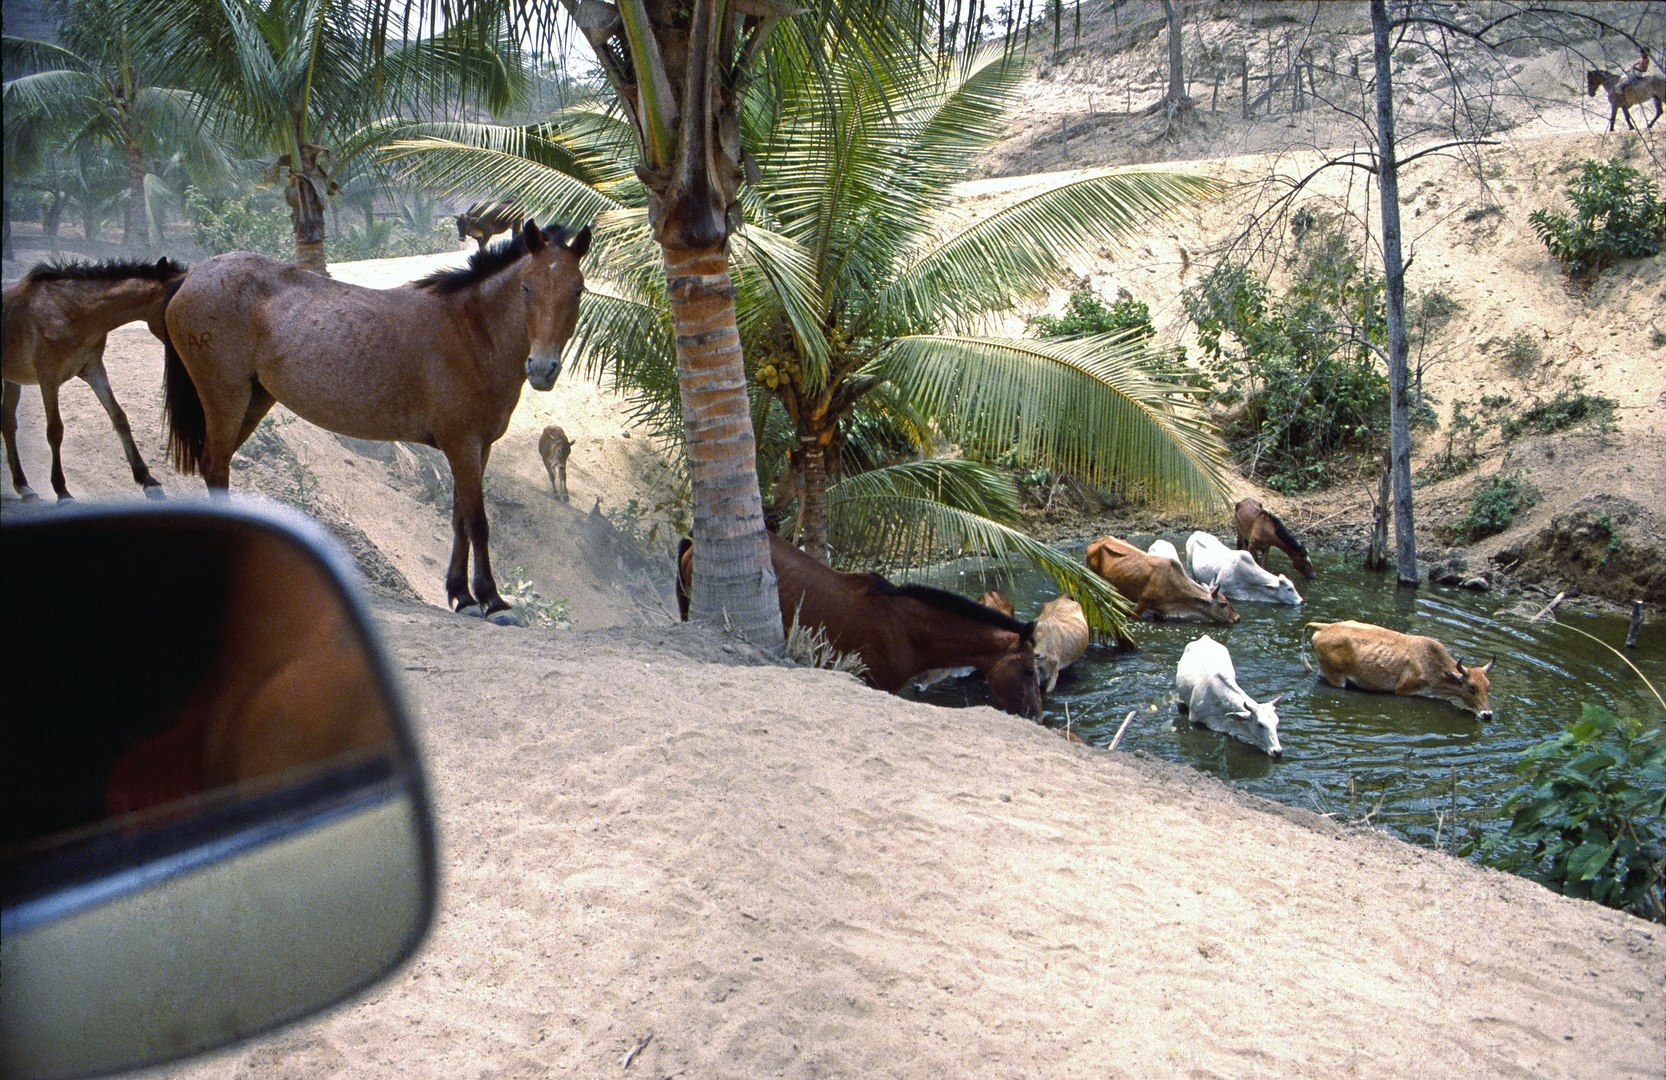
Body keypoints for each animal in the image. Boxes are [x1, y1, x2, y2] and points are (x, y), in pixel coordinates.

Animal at [1, 256, 187, 503]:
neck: (70, 310)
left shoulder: (94, 369)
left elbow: (119, 417)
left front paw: (148, 480)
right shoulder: (48, 379)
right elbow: (55, 430)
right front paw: (62, 491)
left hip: (12, 379)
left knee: (8, 422)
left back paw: (23, 486)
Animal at [164, 223, 593, 620]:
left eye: (577, 291)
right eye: (527, 287)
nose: (542, 369)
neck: (471, 332)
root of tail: (191, 277)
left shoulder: (476, 448)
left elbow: (458, 518)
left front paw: (462, 595)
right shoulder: (462, 444)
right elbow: (477, 522)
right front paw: (492, 600)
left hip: (253, 401)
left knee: (216, 465)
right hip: (225, 397)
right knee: (215, 466)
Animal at [1299, 620, 1499, 720]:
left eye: (1488, 686)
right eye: (1471, 687)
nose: (1487, 714)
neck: (1435, 666)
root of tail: (1325, 627)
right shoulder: (1403, 690)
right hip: (1336, 678)